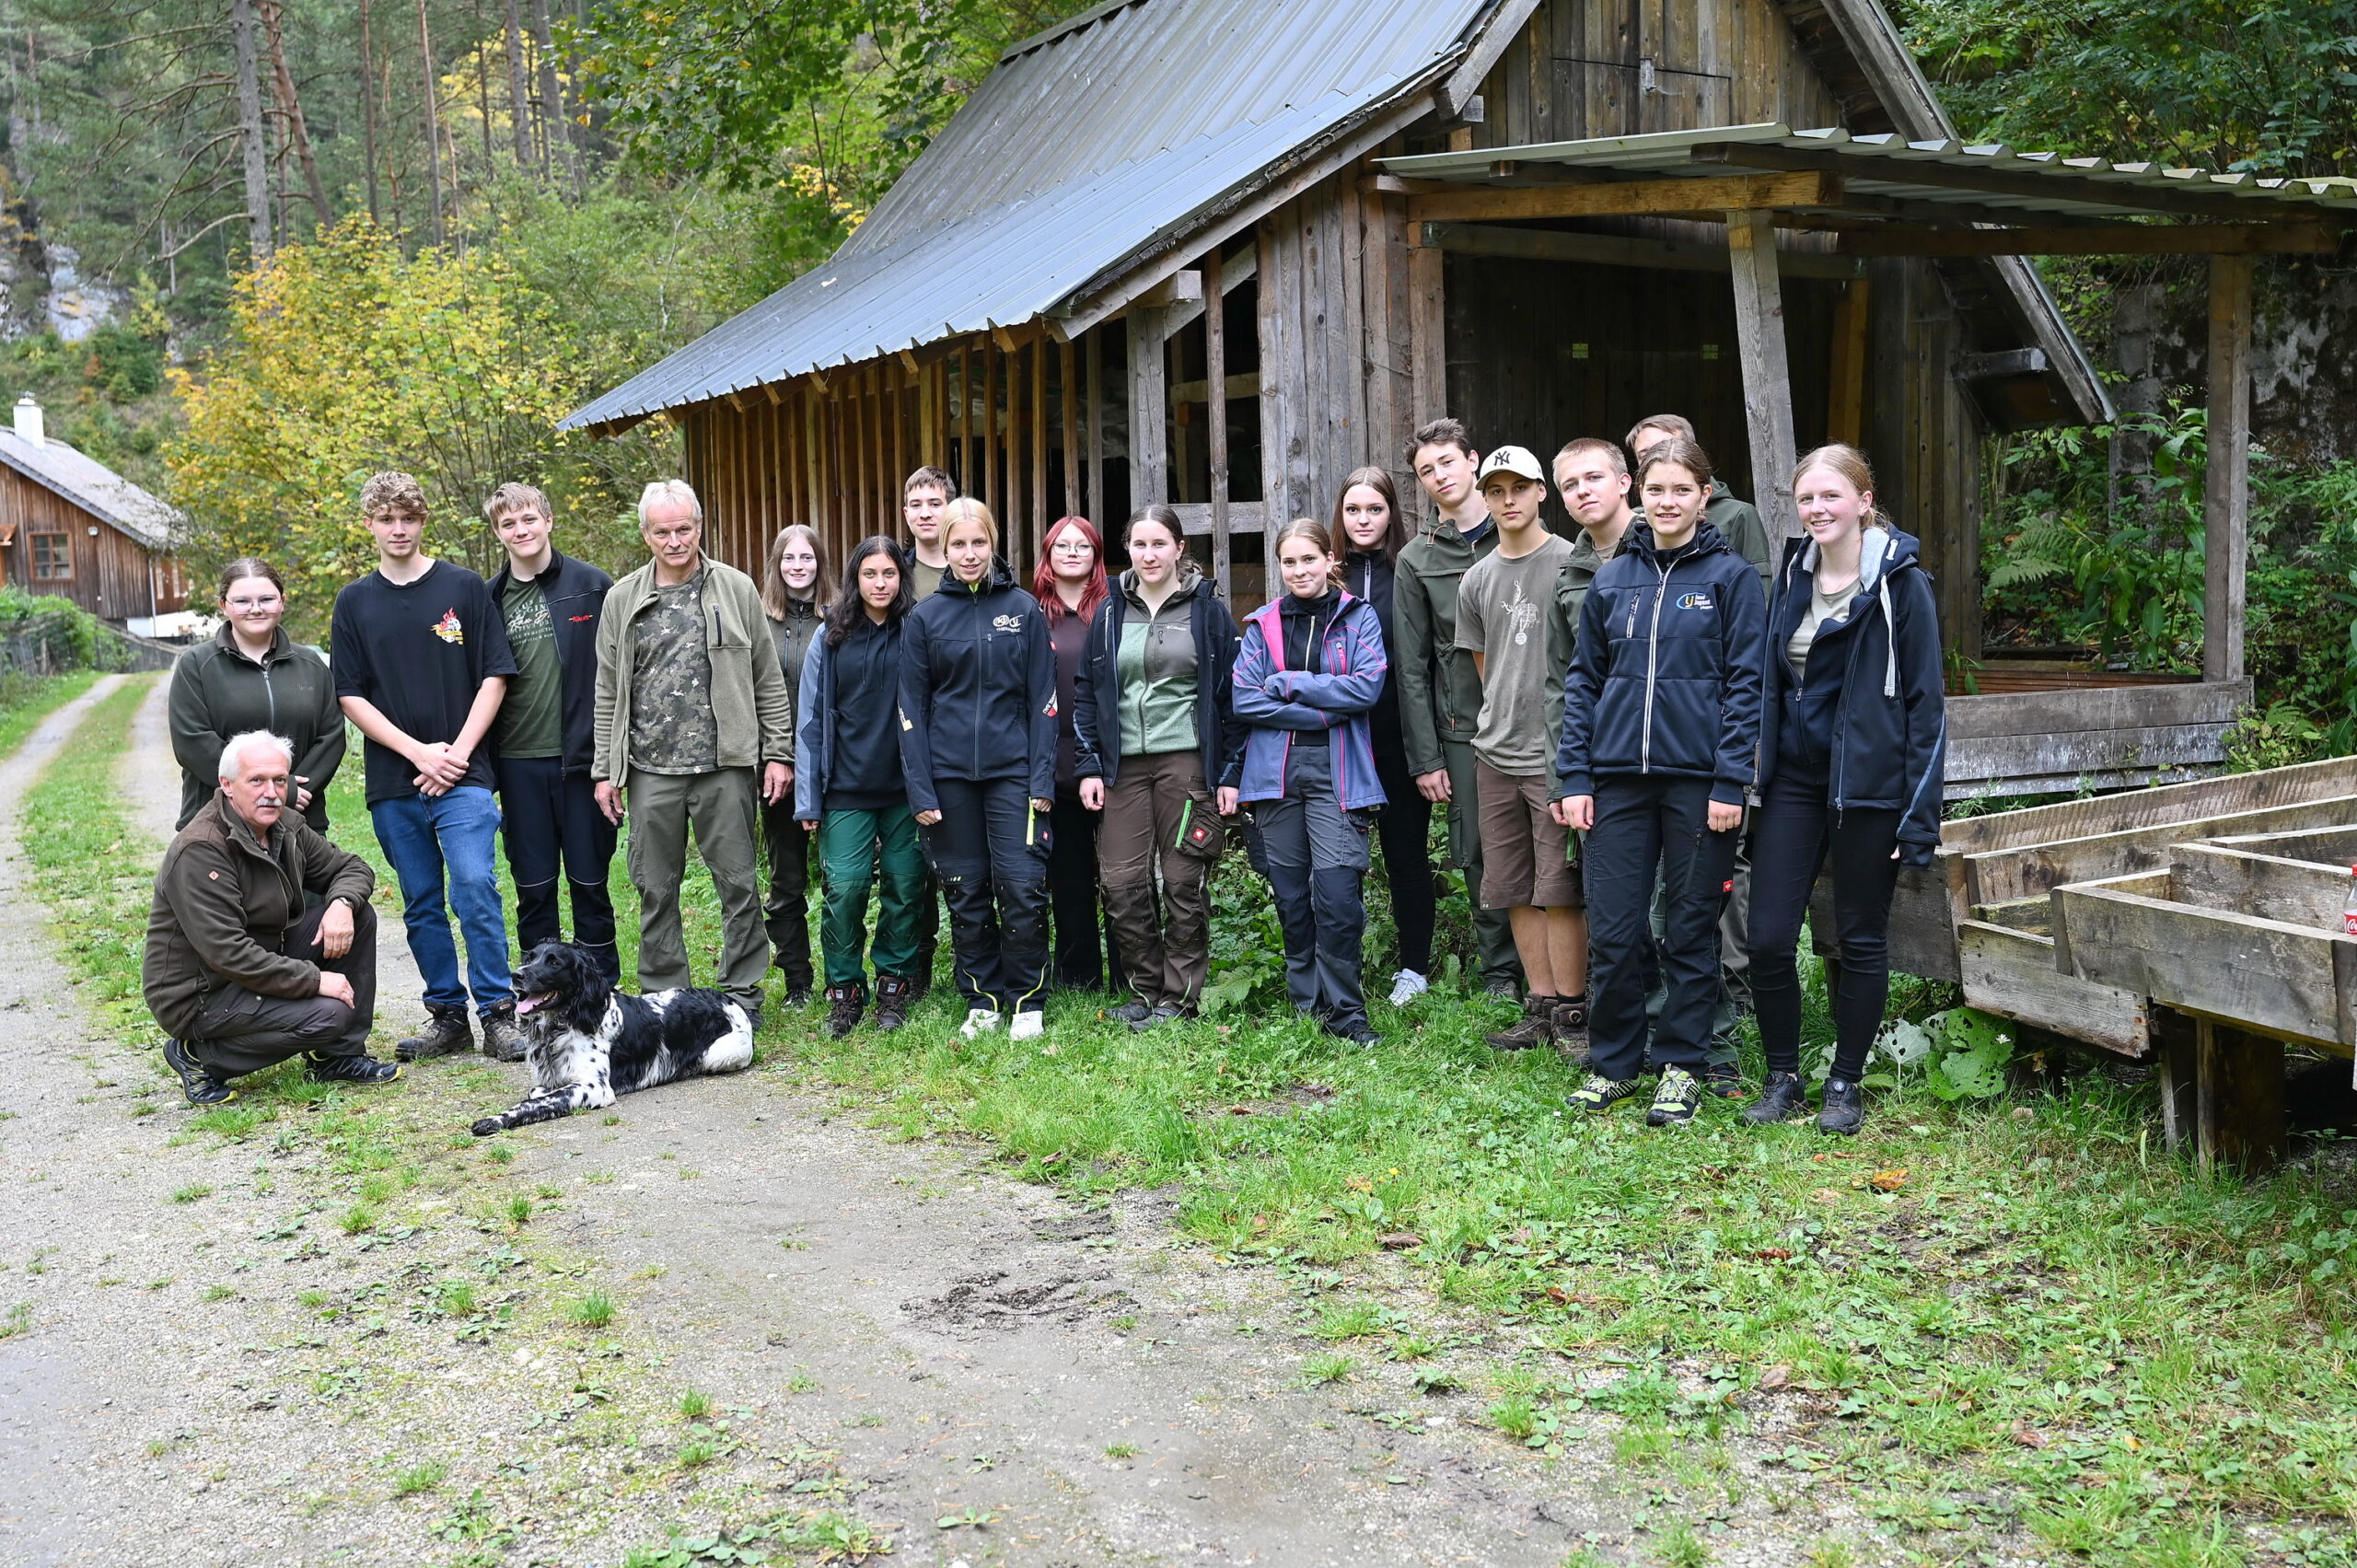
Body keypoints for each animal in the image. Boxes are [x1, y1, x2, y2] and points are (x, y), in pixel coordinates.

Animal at [464, 934, 749, 1132]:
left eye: (554, 962)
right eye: (529, 958)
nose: (516, 975)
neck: (565, 1023)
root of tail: (728, 999)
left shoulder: (595, 1087)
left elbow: (533, 1102)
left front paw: (493, 1120)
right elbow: (537, 1093)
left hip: (720, 1053)